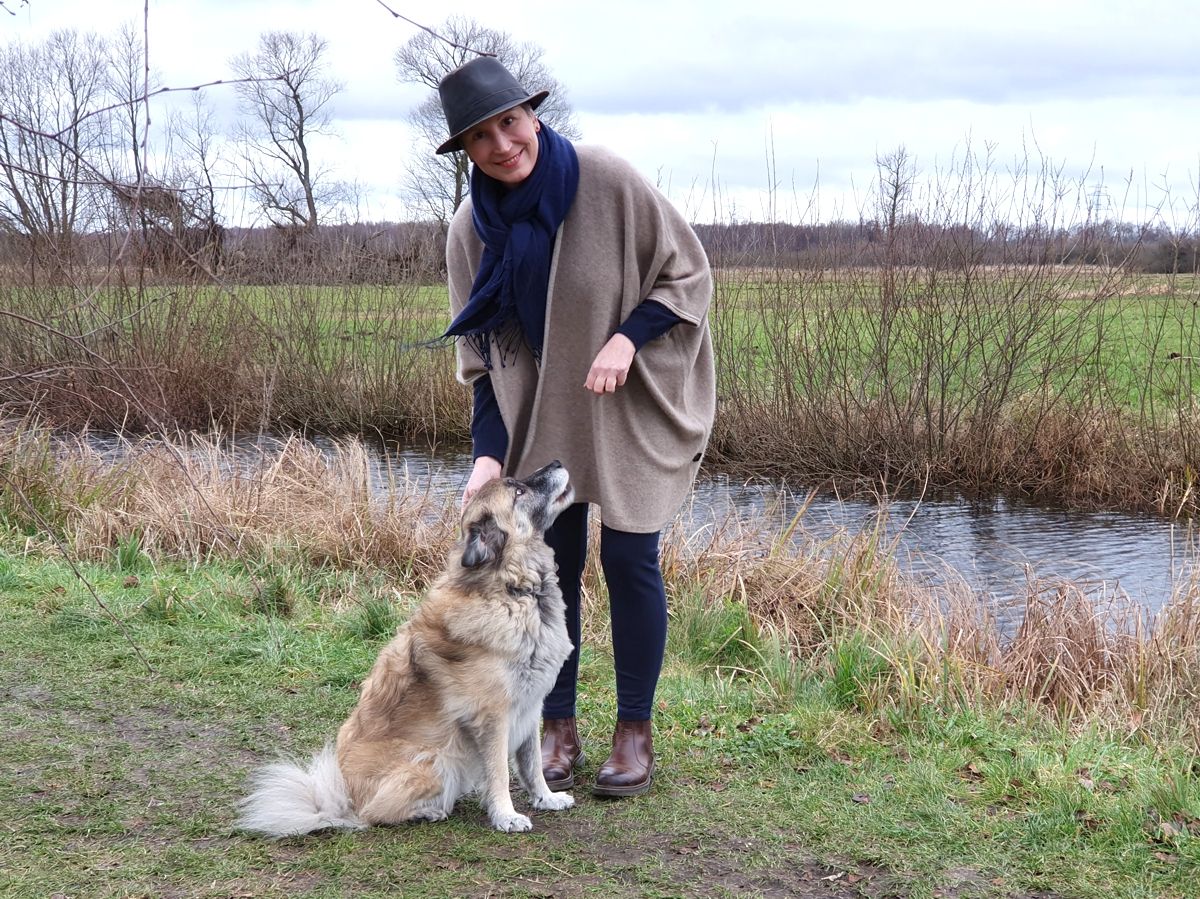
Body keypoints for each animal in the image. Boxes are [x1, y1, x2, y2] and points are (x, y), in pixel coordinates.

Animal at [237, 463, 576, 835]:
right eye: (518, 491)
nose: (558, 463)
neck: (514, 590)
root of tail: (343, 800)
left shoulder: (530, 707)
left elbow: (532, 764)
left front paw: (546, 798)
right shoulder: (493, 717)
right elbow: (499, 772)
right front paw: (506, 815)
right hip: (436, 760)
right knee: (374, 814)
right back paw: (426, 812)